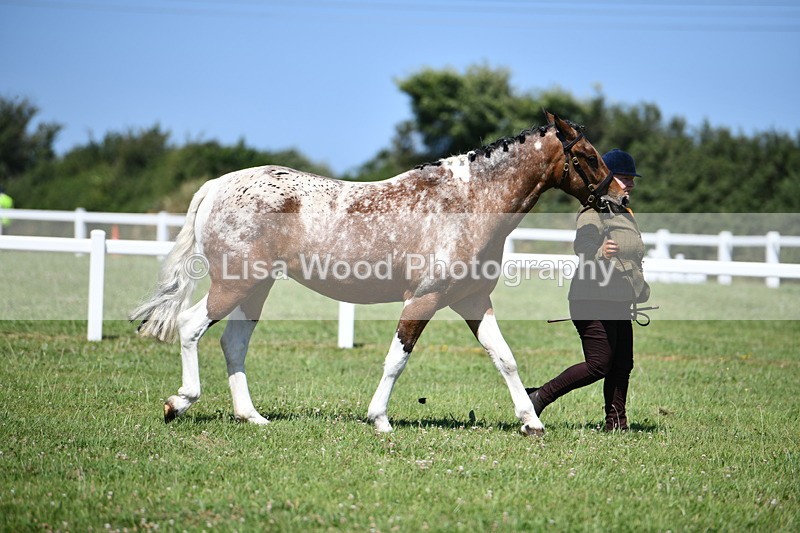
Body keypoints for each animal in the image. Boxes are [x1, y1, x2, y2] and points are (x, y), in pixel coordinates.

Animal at [131, 111, 621, 436]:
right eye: (587, 155)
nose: (619, 196)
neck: (466, 203)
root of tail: (217, 186)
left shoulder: (472, 301)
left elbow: (505, 358)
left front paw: (530, 421)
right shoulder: (424, 299)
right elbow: (396, 360)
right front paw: (379, 419)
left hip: (257, 288)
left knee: (233, 343)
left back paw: (251, 416)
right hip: (234, 284)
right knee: (190, 326)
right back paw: (179, 402)